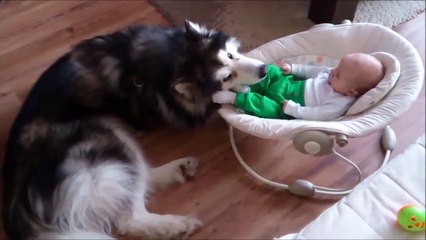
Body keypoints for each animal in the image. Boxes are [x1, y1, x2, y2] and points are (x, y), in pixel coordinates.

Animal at [1, 21, 264, 240]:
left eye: (230, 54)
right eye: (226, 76)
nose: (263, 69)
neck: (170, 59)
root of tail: (16, 198)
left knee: (135, 177)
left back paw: (178, 169)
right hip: (108, 133)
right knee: (129, 215)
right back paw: (176, 223)